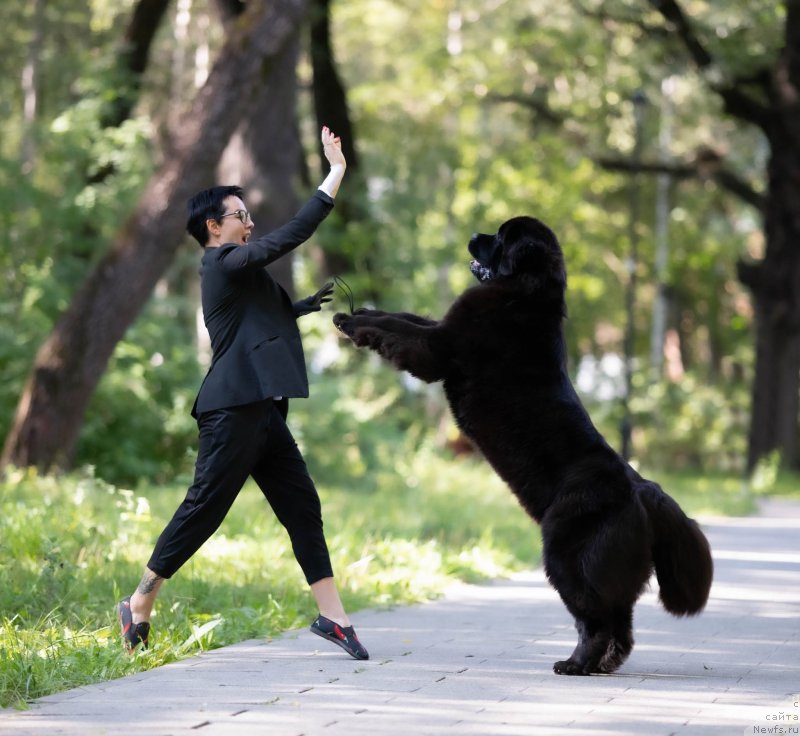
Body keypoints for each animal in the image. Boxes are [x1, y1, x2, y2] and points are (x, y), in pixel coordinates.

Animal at [332, 216, 712, 676]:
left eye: (499, 236)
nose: (473, 235)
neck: (525, 292)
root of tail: (642, 488)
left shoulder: (439, 348)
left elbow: (404, 331)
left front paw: (353, 323)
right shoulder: (443, 328)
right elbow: (404, 317)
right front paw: (363, 311)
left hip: (566, 556)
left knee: (596, 621)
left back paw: (575, 664)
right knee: (621, 626)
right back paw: (599, 665)